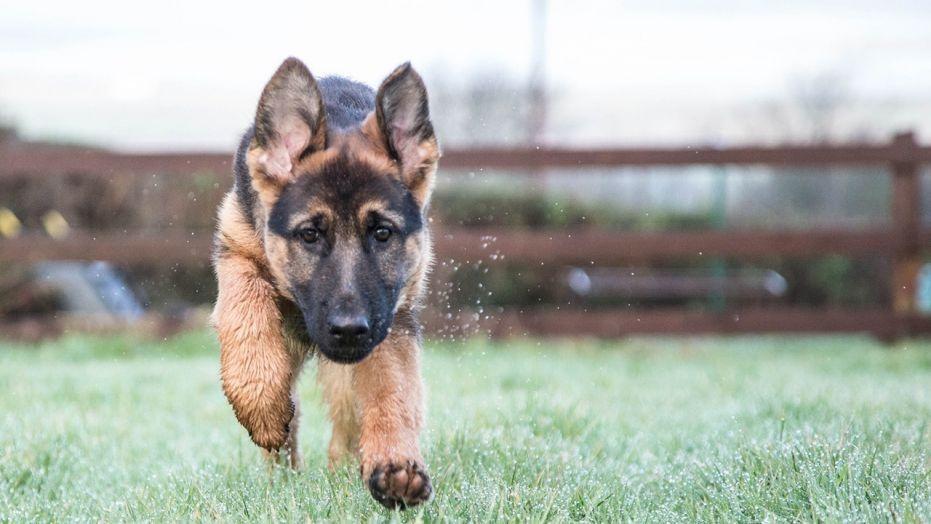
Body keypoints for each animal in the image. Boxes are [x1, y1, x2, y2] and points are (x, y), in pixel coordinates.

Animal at [211, 56, 440, 508]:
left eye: (382, 233)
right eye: (309, 235)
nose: (349, 330)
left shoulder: (390, 319)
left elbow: (394, 388)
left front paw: (396, 465)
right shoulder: (236, 250)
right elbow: (245, 313)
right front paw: (260, 405)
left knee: (347, 420)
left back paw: (342, 474)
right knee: (292, 419)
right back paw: (281, 475)